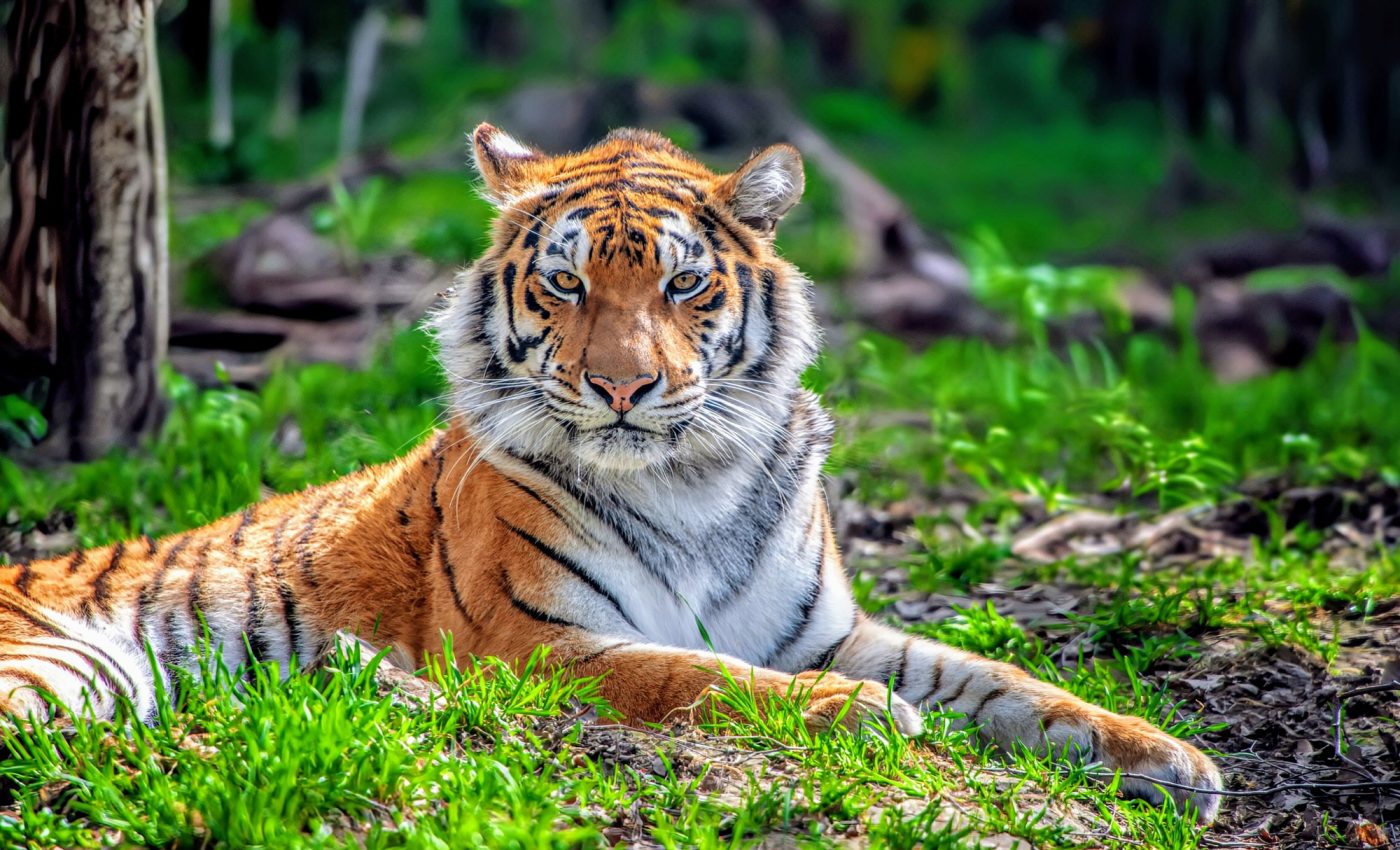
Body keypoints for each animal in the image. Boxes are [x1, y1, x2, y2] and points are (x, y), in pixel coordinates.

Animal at [0, 124, 1224, 823]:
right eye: (565, 284)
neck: (691, 479)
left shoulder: (820, 626)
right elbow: (696, 677)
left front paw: (1168, 757)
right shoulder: (534, 642)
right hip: (63, 671)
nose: (625, 387)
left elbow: (998, 681)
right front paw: (859, 714)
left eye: (683, 285)